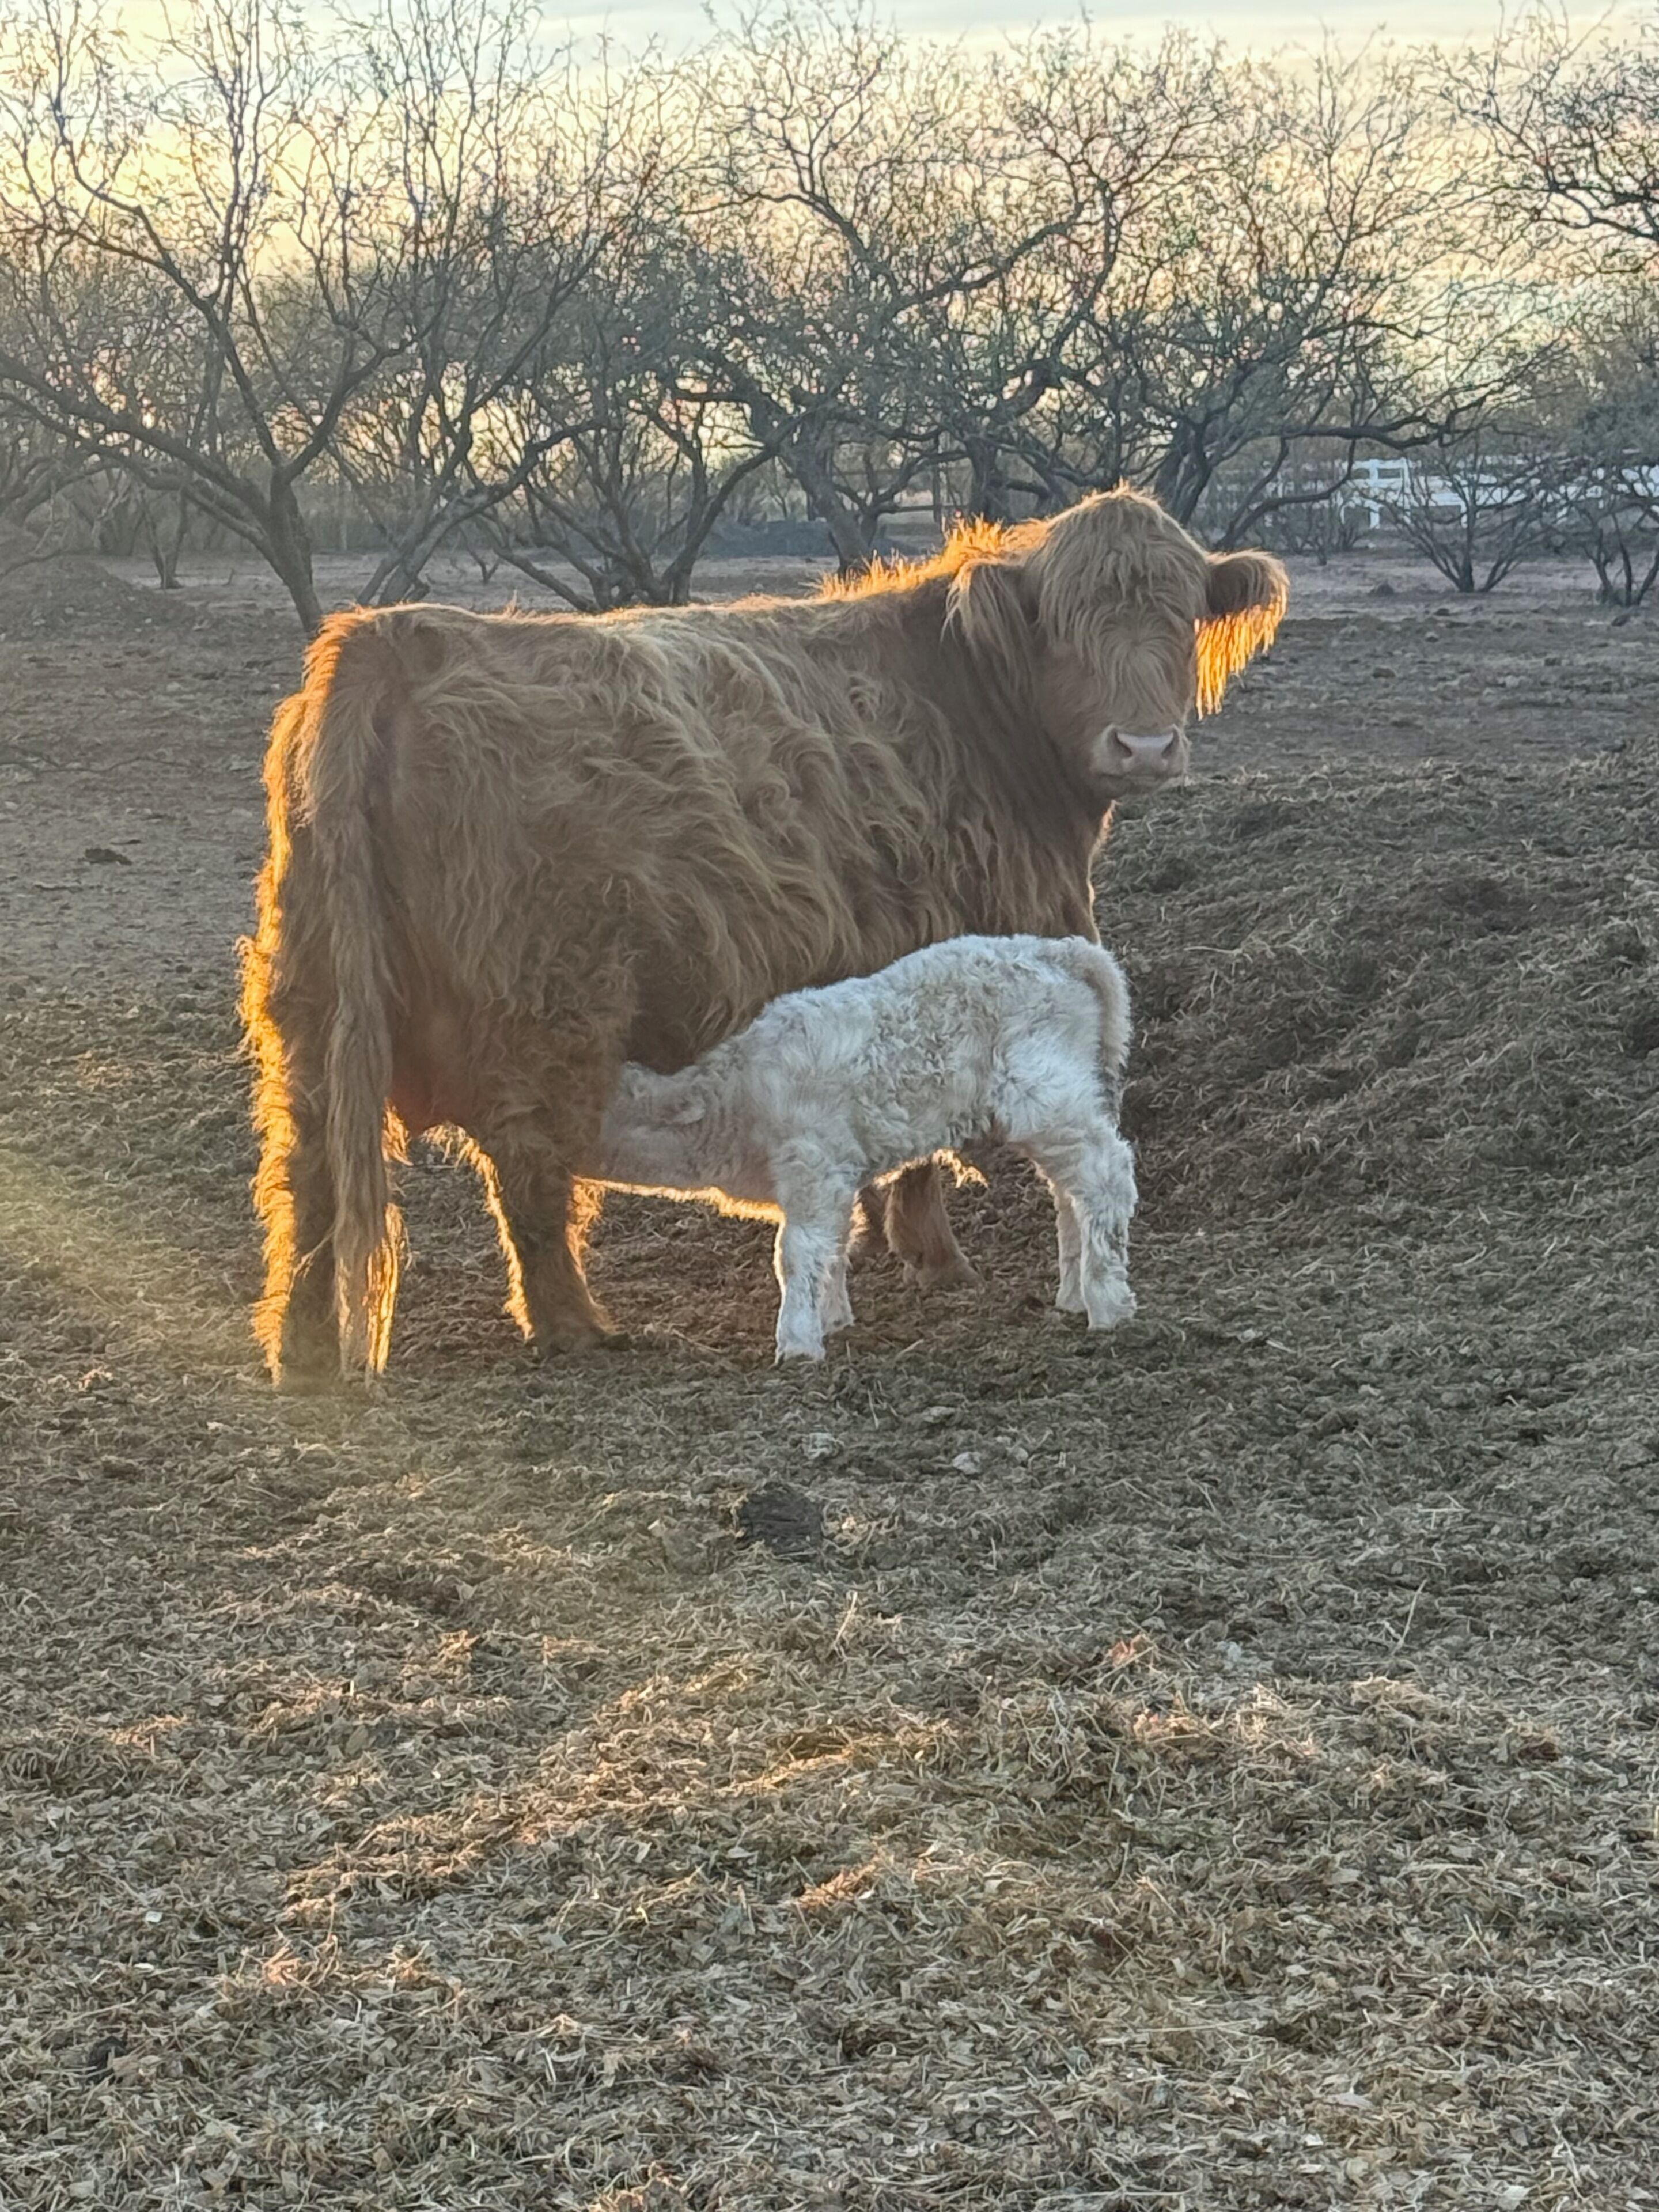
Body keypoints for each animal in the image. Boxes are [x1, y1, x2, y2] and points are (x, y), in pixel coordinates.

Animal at [241, 486, 1285, 1386]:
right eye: (1062, 627)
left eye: (1181, 616)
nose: (1144, 746)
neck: (982, 717)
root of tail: (392, 635)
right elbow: (919, 1148)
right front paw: (934, 1259)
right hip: (543, 1008)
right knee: (530, 1174)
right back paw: (577, 1327)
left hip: (311, 1010)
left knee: (311, 1176)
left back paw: (301, 1350)